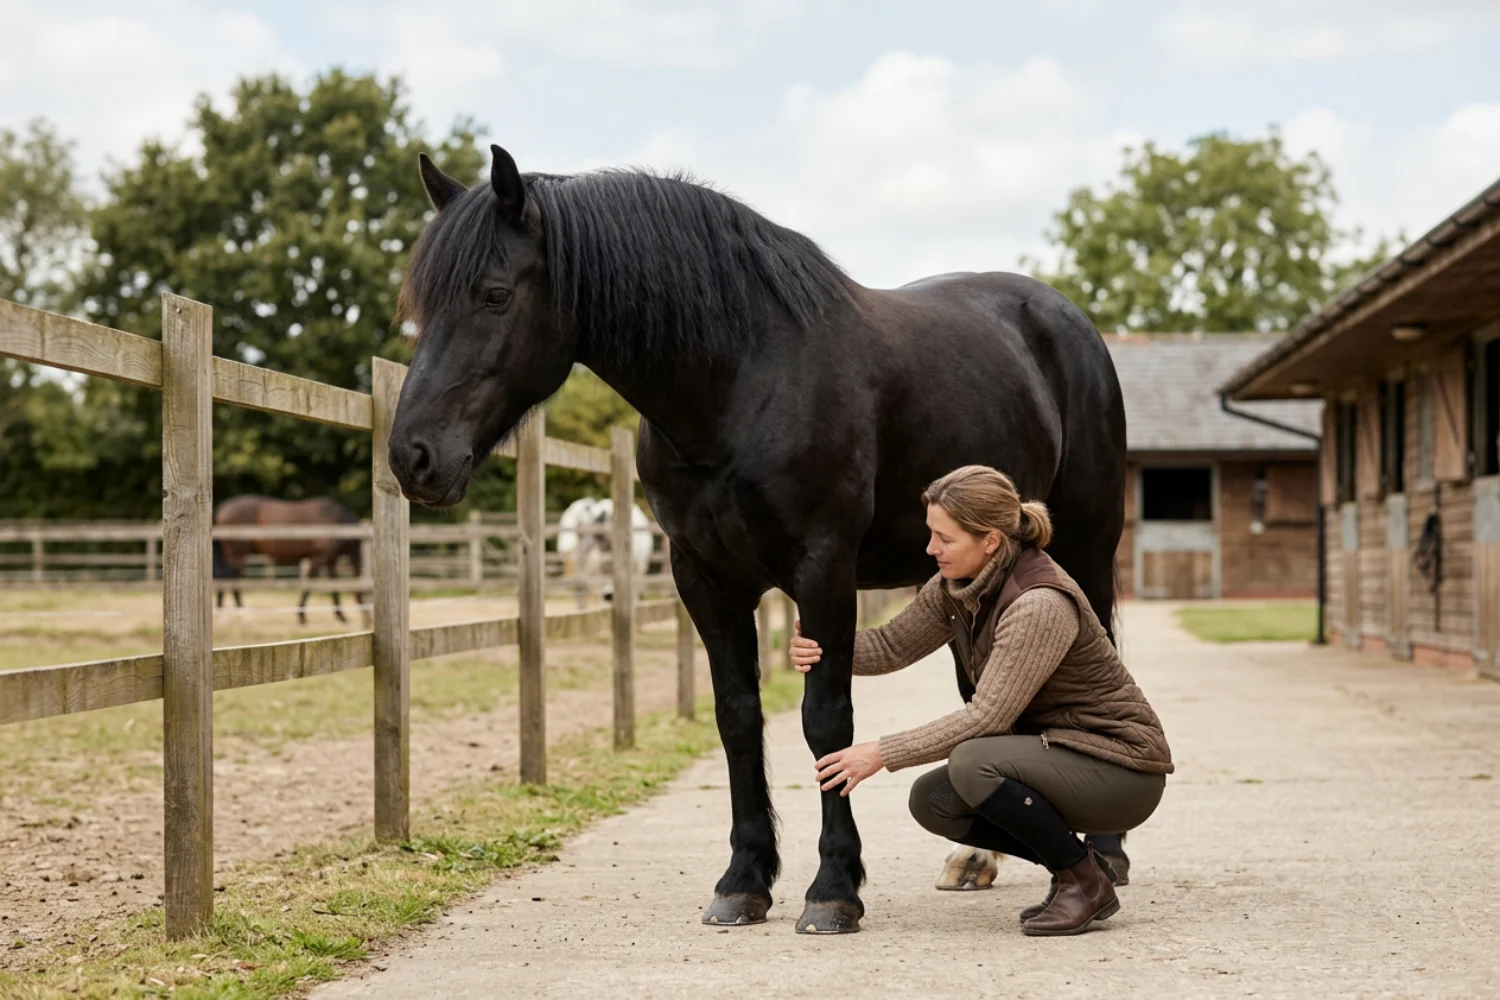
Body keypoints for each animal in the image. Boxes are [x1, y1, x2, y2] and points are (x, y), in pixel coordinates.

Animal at [212, 495, 368, 626]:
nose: (367, 615)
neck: (337, 520)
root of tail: (223, 509)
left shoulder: (331, 559)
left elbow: (334, 585)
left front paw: (341, 616)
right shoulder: (320, 556)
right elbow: (310, 582)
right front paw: (302, 616)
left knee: (226, 578)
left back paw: (225, 616)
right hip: (237, 553)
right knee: (232, 580)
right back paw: (241, 615)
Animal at [384, 147, 1128, 934]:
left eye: (494, 295)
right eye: (421, 306)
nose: (412, 457)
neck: (740, 381)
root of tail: (1063, 318)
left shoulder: (823, 567)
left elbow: (826, 721)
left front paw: (833, 889)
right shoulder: (705, 578)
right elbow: (737, 718)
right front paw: (743, 881)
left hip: (1083, 547)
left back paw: (1105, 852)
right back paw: (976, 860)